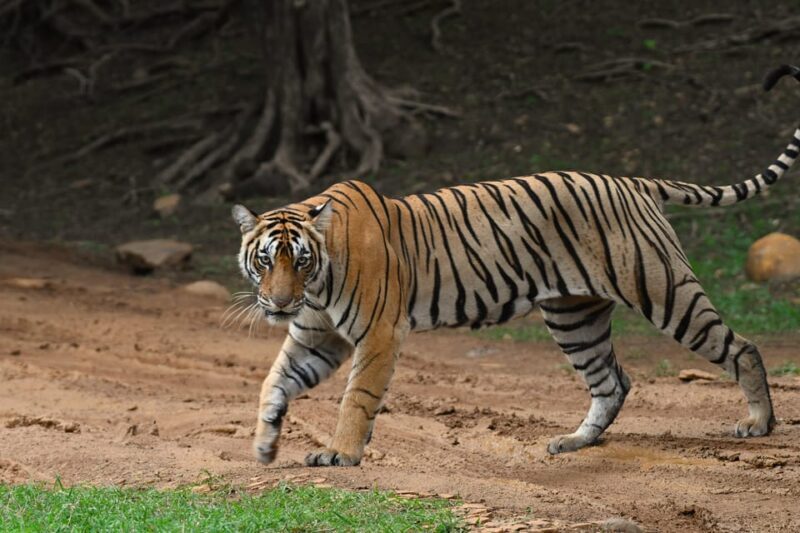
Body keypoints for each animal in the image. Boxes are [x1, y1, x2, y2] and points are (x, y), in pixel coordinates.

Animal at [232, 65, 799, 467]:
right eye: (266, 262)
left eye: (301, 262)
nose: (278, 303)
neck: (318, 287)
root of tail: (633, 181)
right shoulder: (315, 335)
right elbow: (273, 382)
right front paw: (264, 445)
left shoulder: (378, 332)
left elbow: (358, 397)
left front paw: (341, 454)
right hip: (574, 316)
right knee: (612, 381)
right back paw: (574, 441)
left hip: (664, 292)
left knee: (742, 348)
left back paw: (758, 423)